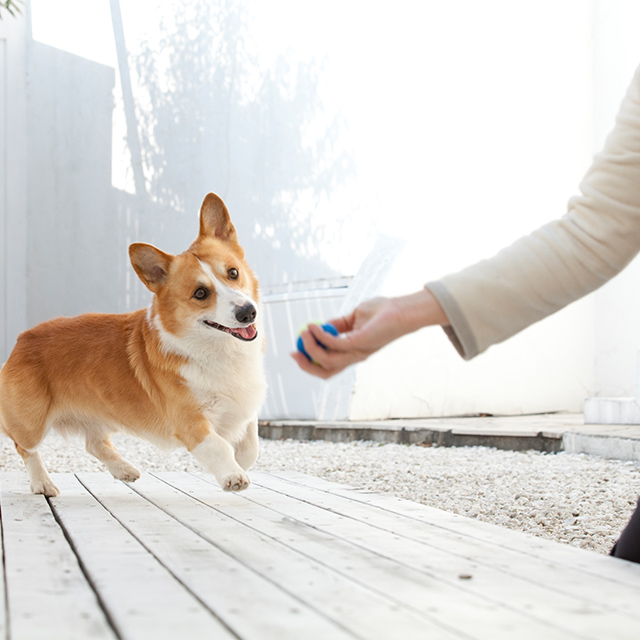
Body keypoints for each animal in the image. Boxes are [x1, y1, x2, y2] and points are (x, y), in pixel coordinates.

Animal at [0, 192, 266, 498]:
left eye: (233, 273)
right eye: (200, 293)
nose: (248, 312)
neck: (219, 350)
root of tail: (22, 338)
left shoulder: (245, 410)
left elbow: (250, 448)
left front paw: (239, 464)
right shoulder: (190, 421)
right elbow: (219, 446)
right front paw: (233, 475)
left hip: (93, 415)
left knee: (94, 443)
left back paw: (124, 469)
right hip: (31, 422)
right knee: (25, 447)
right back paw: (43, 483)